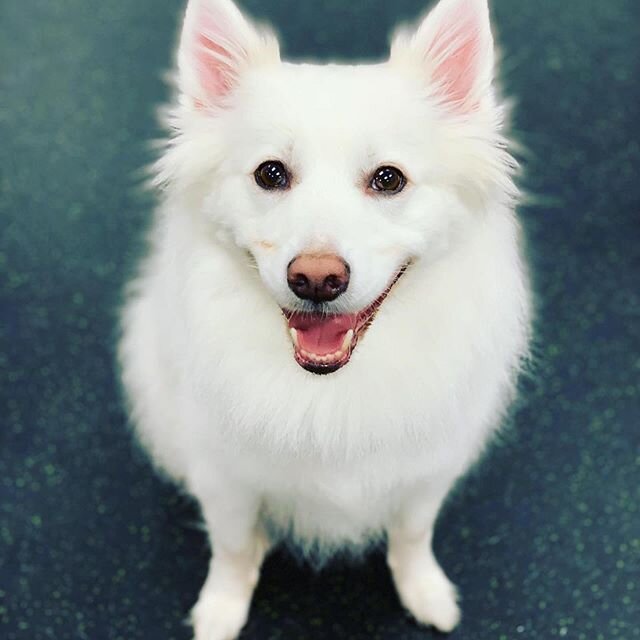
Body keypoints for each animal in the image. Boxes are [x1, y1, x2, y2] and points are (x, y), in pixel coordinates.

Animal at [117, 0, 532, 636]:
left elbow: (413, 536)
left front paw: (425, 593)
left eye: (389, 179)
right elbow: (230, 549)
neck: (330, 387)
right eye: (270, 174)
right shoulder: (223, 477)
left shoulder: (428, 473)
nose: (315, 278)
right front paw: (221, 610)